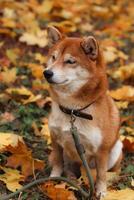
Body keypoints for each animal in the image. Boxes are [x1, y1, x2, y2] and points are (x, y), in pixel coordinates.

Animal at [43, 27, 122, 198]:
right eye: (53, 57)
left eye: (70, 61)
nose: (47, 73)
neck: (73, 110)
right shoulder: (55, 139)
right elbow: (58, 162)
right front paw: (54, 178)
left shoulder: (101, 151)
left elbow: (101, 174)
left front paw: (101, 191)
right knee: (67, 167)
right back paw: (71, 180)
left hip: (116, 149)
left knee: (104, 172)